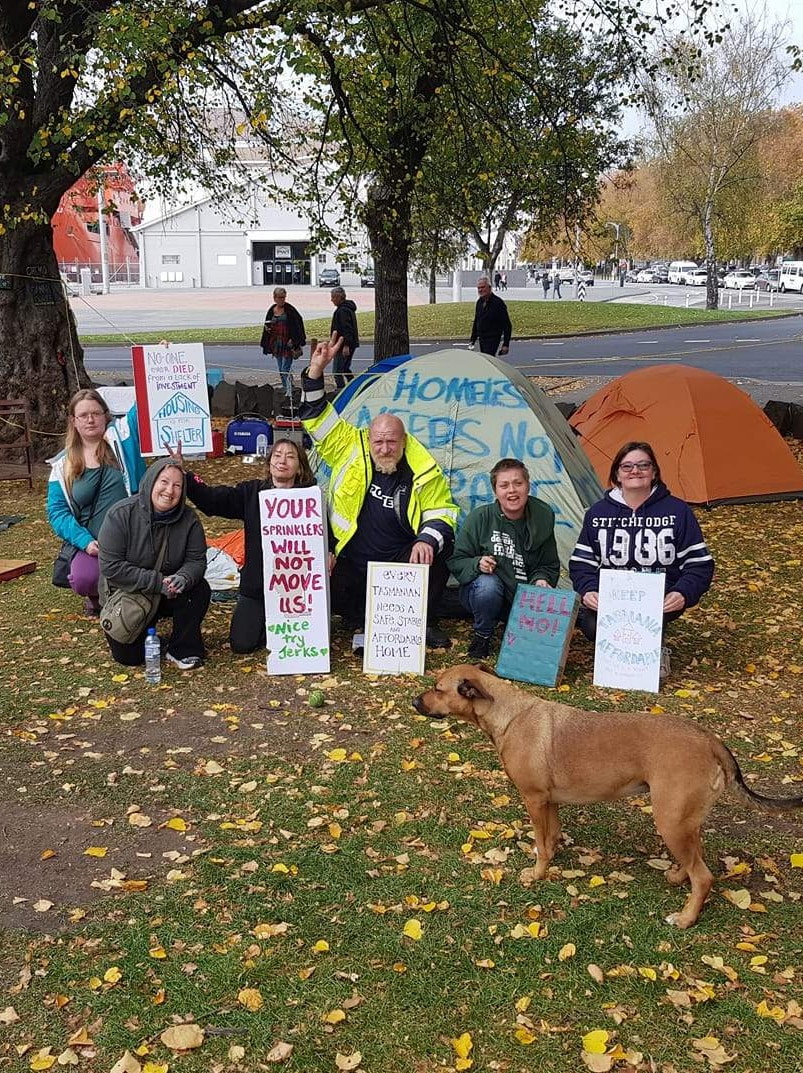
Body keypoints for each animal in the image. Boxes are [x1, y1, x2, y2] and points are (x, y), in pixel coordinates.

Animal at [414, 665, 802, 927]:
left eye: (437, 688)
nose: (414, 700)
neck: (508, 714)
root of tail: (710, 740)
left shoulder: (534, 799)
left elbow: (540, 841)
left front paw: (536, 874)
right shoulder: (550, 802)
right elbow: (550, 837)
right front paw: (551, 857)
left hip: (669, 819)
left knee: (704, 876)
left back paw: (685, 918)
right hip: (682, 820)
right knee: (695, 859)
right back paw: (678, 877)